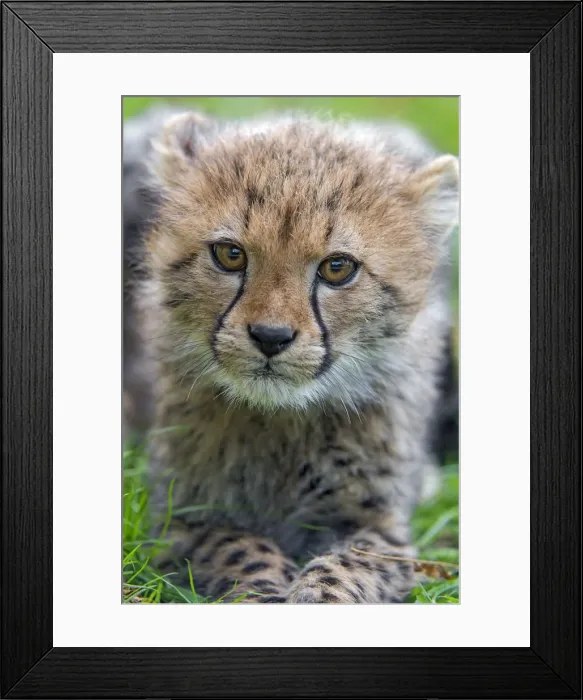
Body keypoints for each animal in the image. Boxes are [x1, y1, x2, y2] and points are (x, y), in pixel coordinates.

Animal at [123, 107, 459, 603]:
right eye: (230, 254)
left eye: (338, 267)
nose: (271, 336)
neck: (282, 421)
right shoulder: (179, 522)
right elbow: (239, 548)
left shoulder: (381, 528)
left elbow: (347, 567)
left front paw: (317, 593)